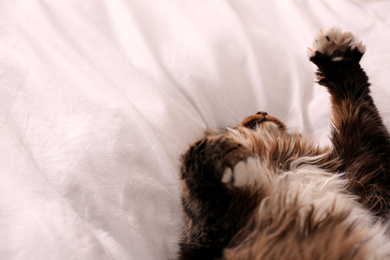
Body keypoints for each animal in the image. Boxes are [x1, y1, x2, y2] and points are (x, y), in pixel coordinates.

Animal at [179, 27, 390, 258]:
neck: (279, 161)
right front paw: (236, 164)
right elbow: (193, 151)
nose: (263, 111)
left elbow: (354, 97)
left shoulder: (364, 164)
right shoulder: (207, 238)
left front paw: (336, 54)